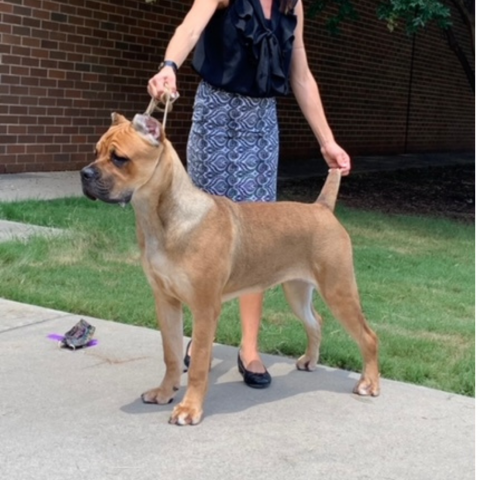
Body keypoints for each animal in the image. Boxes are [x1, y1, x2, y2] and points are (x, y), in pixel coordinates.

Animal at [80, 113, 380, 428]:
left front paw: (189, 409)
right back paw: (310, 360)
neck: (160, 218)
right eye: (96, 152)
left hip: (339, 290)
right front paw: (164, 393)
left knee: (368, 336)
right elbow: (171, 354)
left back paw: (369, 383)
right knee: (316, 321)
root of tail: (321, 208)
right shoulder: (166, 302)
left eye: (119, 158)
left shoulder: (204, 308)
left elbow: (199, 362)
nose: (84, 174)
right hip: (297, 291)